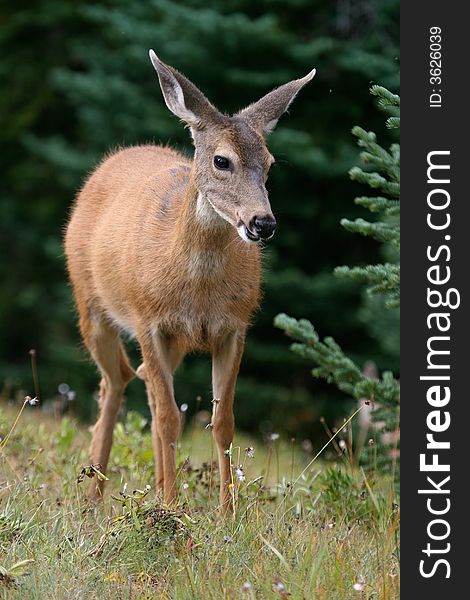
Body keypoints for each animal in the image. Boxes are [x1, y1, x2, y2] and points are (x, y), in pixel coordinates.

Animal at [64, 49, 316, 512]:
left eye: (270, 163)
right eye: (221, 160)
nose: (263, 223)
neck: (197, 289)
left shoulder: (234, 326)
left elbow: (222, 421)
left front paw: (226, 513)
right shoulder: (148, 320)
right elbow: (169, 419)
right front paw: (170, 510)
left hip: (174, 341)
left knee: (142, 383)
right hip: (91, 304)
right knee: (115, 382)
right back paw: (95, 493)